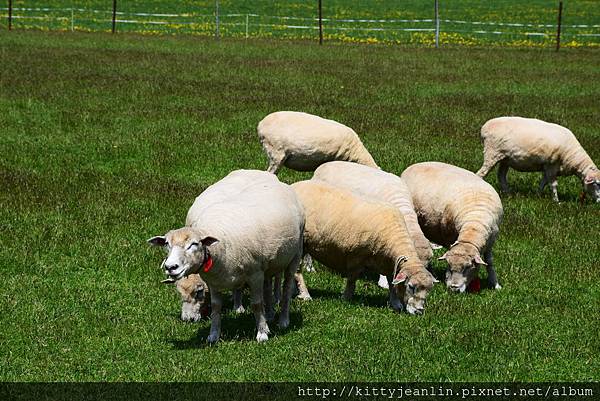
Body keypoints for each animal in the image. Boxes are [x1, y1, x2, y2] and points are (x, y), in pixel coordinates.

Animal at [146, 170, 304, 342]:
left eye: (194, 244)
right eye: (167, 244)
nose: (171, 267)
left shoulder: (255, 274)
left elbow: (256, 303)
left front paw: (262, 334)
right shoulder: (214, 281)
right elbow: (216, 307)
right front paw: (213, 335)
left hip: (295, 255)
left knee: (287, 286)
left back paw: (283, 320)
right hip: (270, 262)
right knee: (268, 285)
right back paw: (269, 314)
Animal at [290, 180, 436, 314]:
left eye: (429, 290)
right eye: (411, 286)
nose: (419, 312)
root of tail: (294, 186)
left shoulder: (389, 264)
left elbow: (391, 284)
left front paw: (395, 304)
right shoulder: (356, 257)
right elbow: (352, 280)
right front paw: (346, 299)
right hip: (301, 244)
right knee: (297, 271)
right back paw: (305, 295)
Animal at [400, 161, 504, 292]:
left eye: (468, 267)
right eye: (449, 265)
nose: (454, 289)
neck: (474, 223)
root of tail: (415, 165)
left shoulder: (491, 241)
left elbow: (490, 262)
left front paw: (495, 284)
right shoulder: (449, 234)